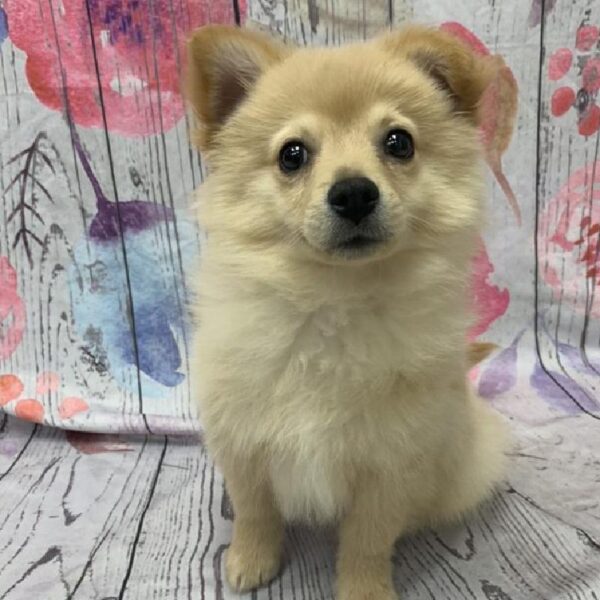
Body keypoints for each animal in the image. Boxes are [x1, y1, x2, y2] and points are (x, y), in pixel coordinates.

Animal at [186, 24, 506, 600]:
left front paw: (363, 589)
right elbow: (255, 513)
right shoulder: (244, 446)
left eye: (398, 142)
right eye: (292, 155)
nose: (354, 192)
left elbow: (367, 540)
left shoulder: (391, 464)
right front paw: (250, 561)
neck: (334, 302)